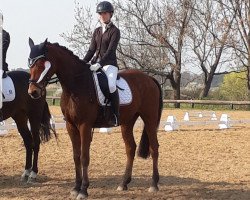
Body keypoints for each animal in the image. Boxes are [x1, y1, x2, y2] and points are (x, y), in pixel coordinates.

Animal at [27, 38, 162, 199]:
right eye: (30, 63)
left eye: (42, 64)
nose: (33, 92)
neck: (76, 85)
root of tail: (149, 78)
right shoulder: (71, 126)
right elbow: (76, 156)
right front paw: (76, 187)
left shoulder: (84, 125)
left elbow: (84, 157)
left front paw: (83, 190)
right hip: (127, 122)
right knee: (130, 148)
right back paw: (123, 183)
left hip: (149, 118)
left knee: (154, 148)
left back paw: (154, 184)